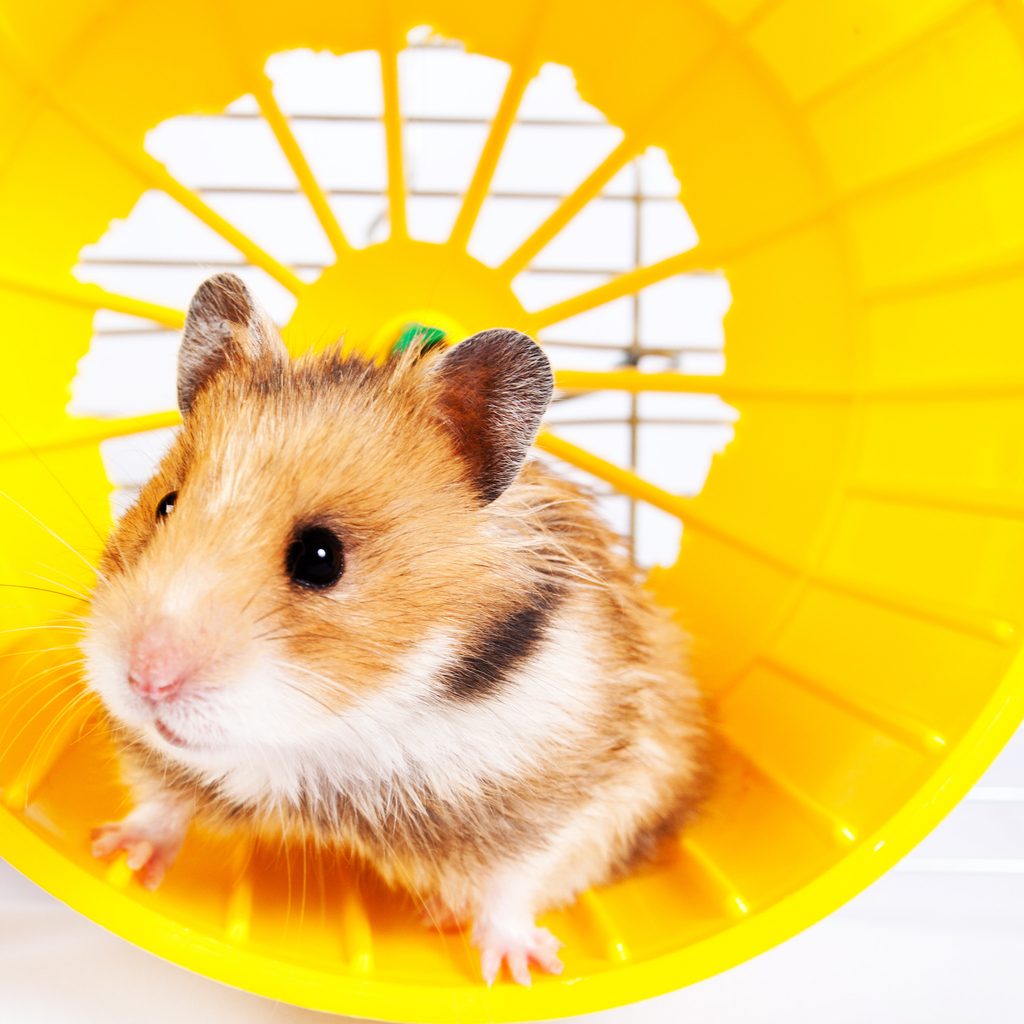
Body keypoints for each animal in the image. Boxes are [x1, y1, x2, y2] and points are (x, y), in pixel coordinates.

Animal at [84, 273, 707, 986]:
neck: (332, 732)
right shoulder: (163, 763)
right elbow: (160, 805)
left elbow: (514, 883)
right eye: (165, 504)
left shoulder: (559, 794)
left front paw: (517, 971)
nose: (144, 680)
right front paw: (114, 854)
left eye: (321, 557)